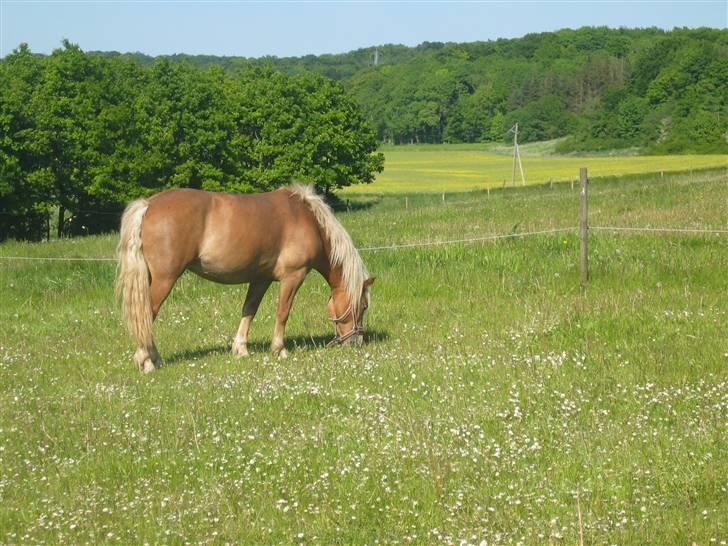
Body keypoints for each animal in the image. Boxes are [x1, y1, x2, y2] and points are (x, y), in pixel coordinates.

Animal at [116, 185, 376, 372]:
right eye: (363, 306)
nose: (356, 342)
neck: (307, 219)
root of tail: (148, 205)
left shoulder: (260, 279)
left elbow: (249, 310)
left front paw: (240, 349)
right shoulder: (293, 276)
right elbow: (283, 312)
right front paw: (279, 349)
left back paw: (154, 358)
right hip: (164, 279)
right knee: (146, 315)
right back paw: (146, 361)